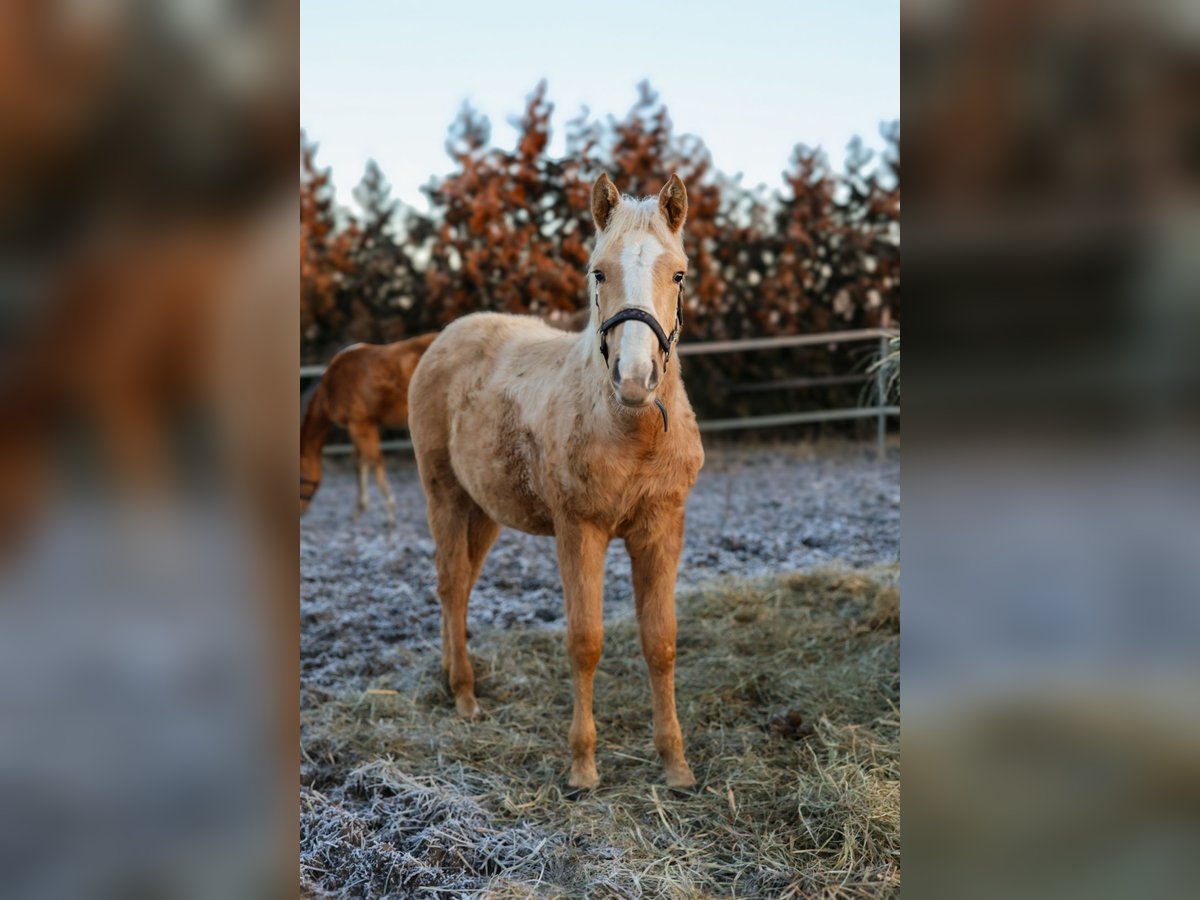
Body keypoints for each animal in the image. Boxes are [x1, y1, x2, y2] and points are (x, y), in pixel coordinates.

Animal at [300, 333, 438, 523]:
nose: (300, 511)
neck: (333, 385)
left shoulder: (361, 423)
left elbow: (374, 462)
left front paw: (390, 513)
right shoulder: (357, 427)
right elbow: (361, 464)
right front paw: (359, 510)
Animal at [408, 173, 704, 789]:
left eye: (679, 273)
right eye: (598, 271)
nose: (635, 379)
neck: (631, 432)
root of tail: (444, 338)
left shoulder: (662, 528)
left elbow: (661, 641)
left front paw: (676, 764)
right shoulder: (579, 529)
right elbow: (585, 641)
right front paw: (583, 767)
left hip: (484, 511)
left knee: (461, 587)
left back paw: (454, 678)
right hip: (443, 495)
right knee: (450, 583)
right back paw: (465, 696)